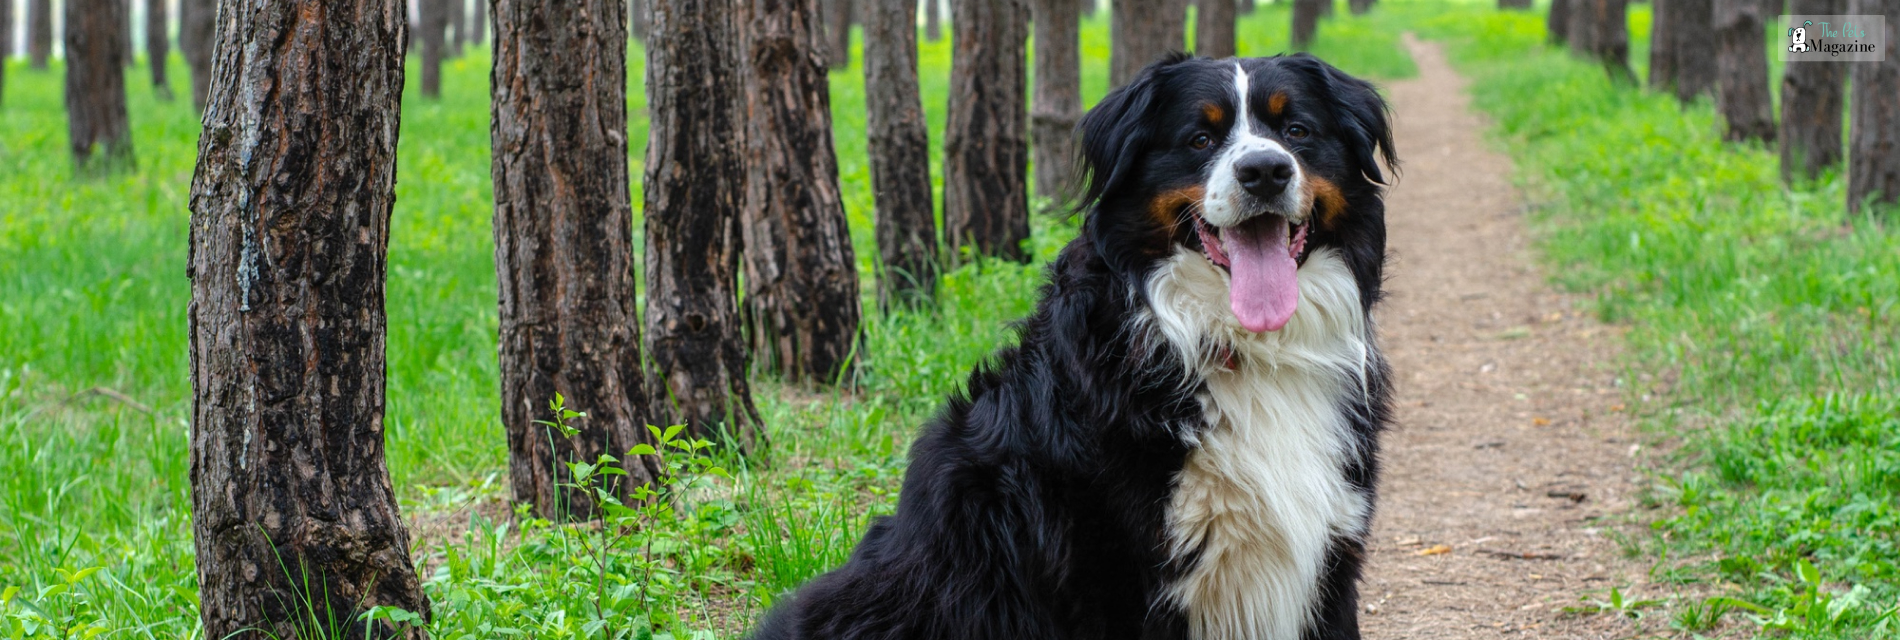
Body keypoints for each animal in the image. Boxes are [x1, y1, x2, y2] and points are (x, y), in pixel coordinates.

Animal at [752, 52, 1398, 634]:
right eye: (1199, 138)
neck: (1244, 347)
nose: (1265, 170)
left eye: (1296, 131)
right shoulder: (1119, 575)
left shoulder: (1331, 555)